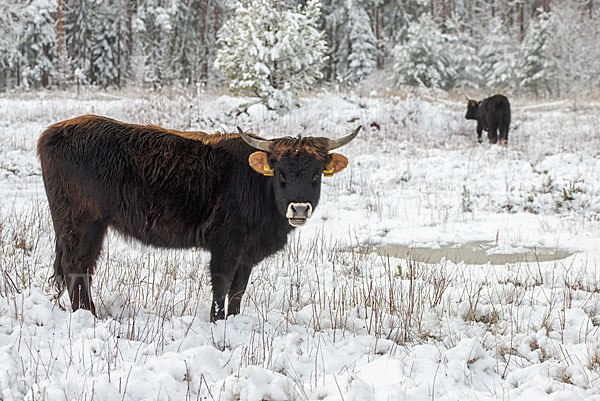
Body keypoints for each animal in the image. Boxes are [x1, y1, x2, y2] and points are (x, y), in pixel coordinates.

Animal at [37, 114, 360, 320]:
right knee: (77, 268)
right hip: (82, 224)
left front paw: (234, 320)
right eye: (280, 173)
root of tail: (54, 131)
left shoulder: (246, 254)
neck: (256, 184)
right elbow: (222, 285)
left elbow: (238, 291)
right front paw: (217, 322)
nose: (300, 208)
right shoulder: (225, 246)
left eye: (317, 174)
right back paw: (89, 315)